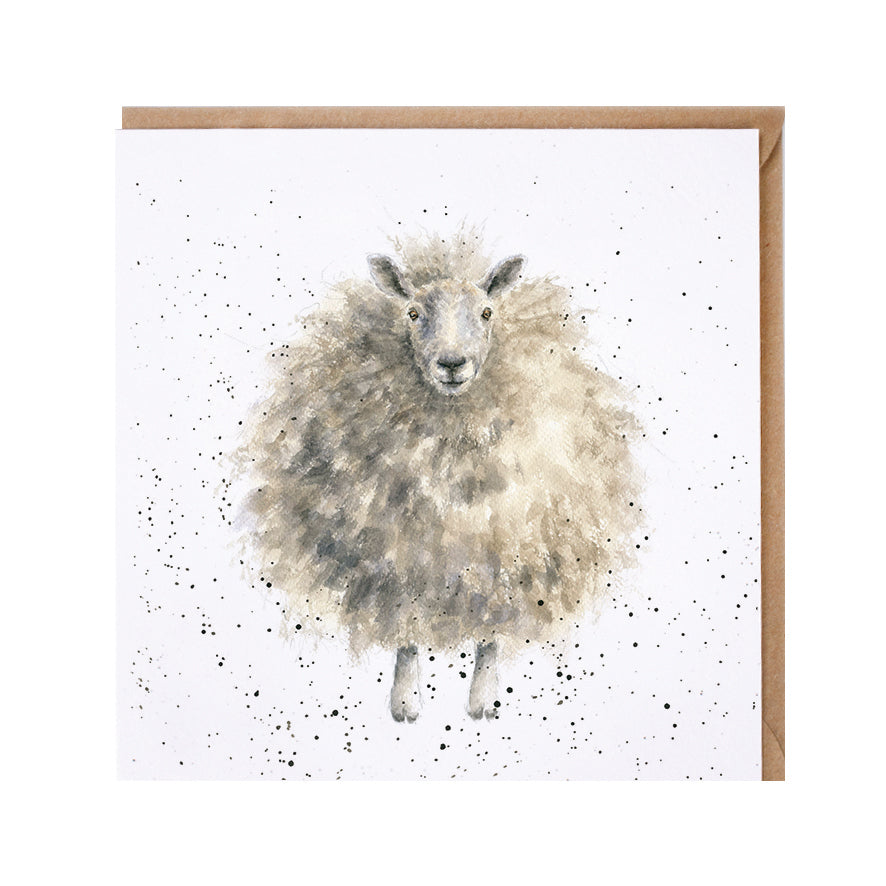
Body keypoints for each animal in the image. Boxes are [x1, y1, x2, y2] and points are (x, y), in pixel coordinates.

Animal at [232, 229, 643, 721]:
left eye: (486, 312)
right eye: (413, 313)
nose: (451, 363)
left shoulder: (504, 542)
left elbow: (491, 625)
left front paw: (484, 701)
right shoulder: (402, 549)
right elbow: (406, 625)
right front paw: (405, 701)